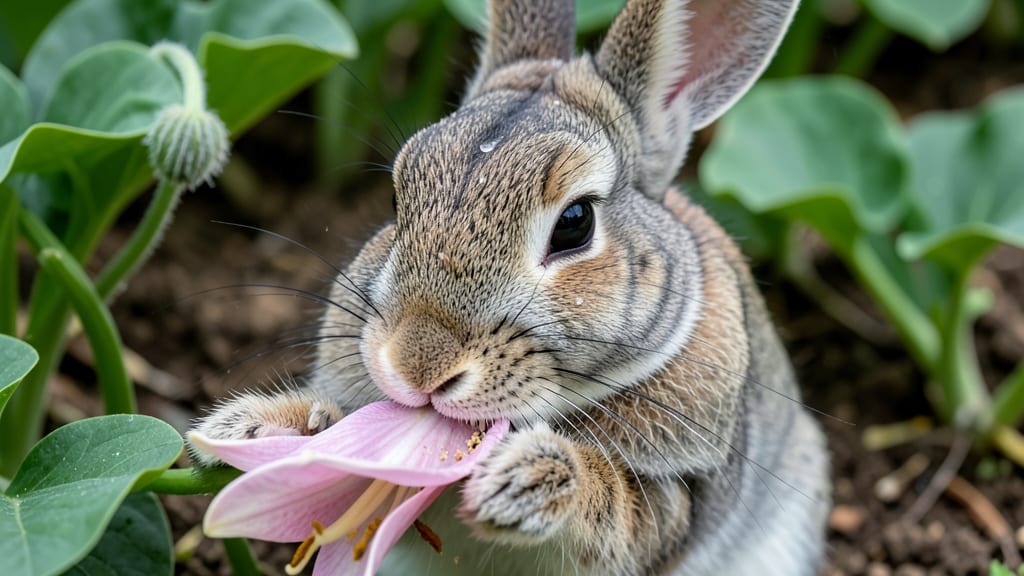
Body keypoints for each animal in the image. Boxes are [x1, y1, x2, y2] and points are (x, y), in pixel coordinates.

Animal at [190, 0, 831, 574]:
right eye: (397, 200)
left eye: (575, 222)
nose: (418, 367)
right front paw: (254, 427)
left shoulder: (682, 495)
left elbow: (619, 505)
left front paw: (524, 482)